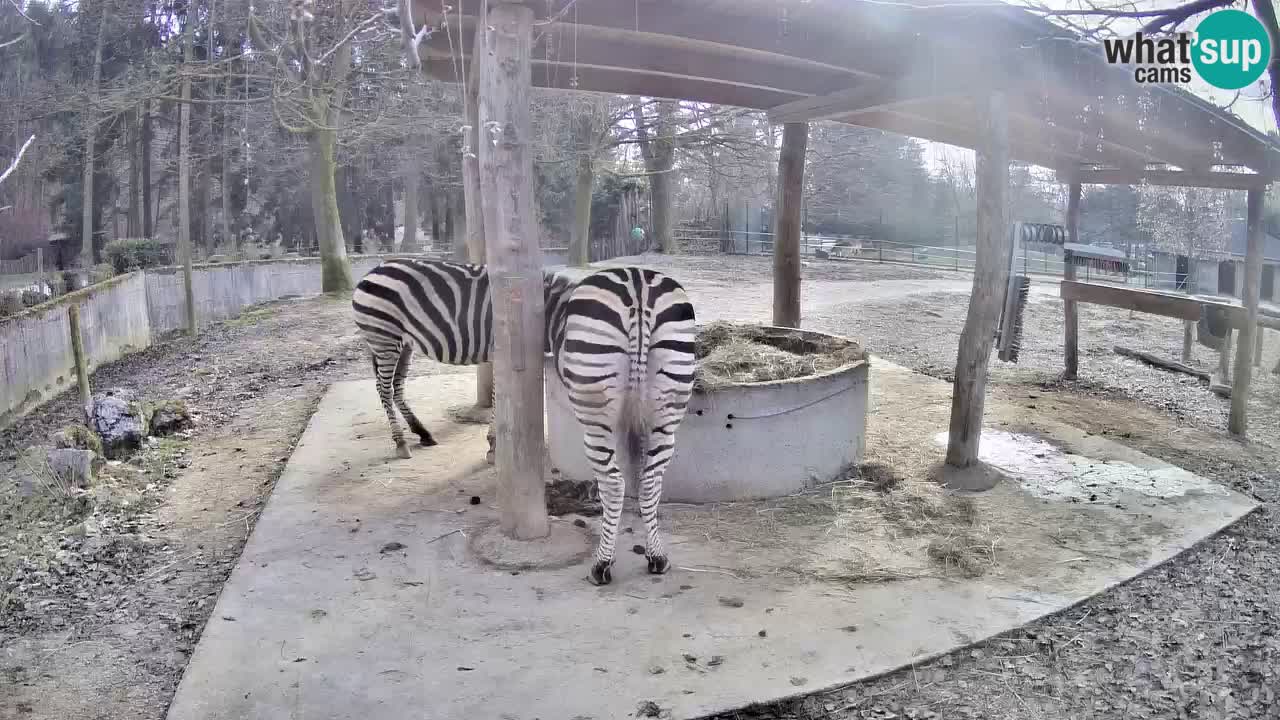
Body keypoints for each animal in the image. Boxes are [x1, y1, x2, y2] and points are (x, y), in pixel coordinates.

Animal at [353, 257, 701, 584]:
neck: (552, 310)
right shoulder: (499, 350)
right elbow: (498, 399)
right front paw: (494, 447)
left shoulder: (499, 352)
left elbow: (498, 399)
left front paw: (493, 446)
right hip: (386, 338)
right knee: (386, 387)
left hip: (399, 342)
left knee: (394, 386)